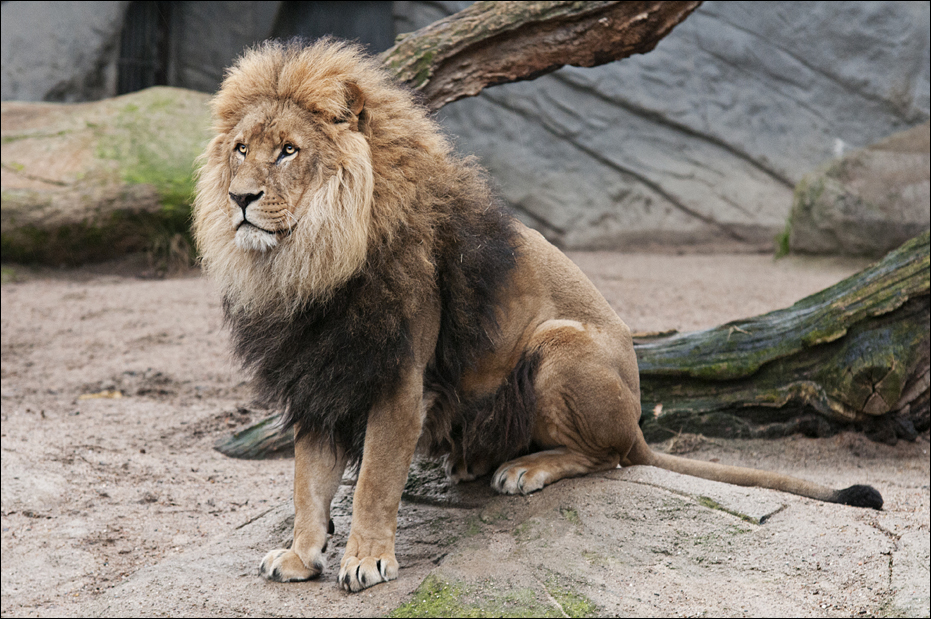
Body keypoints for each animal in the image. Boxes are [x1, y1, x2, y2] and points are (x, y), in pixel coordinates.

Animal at [193, 39, 883, 593]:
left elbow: (374, 481)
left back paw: (524, 469)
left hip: (556, 345)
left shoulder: (398, 380)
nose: (240, 198)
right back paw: (470, 461)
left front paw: (365, 560)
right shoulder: (317, 374)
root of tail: (639, 417)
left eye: (289, 151)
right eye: (241, 149)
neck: (310, 264)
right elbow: (308, 480)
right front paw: (300, 555)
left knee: (607, 457)